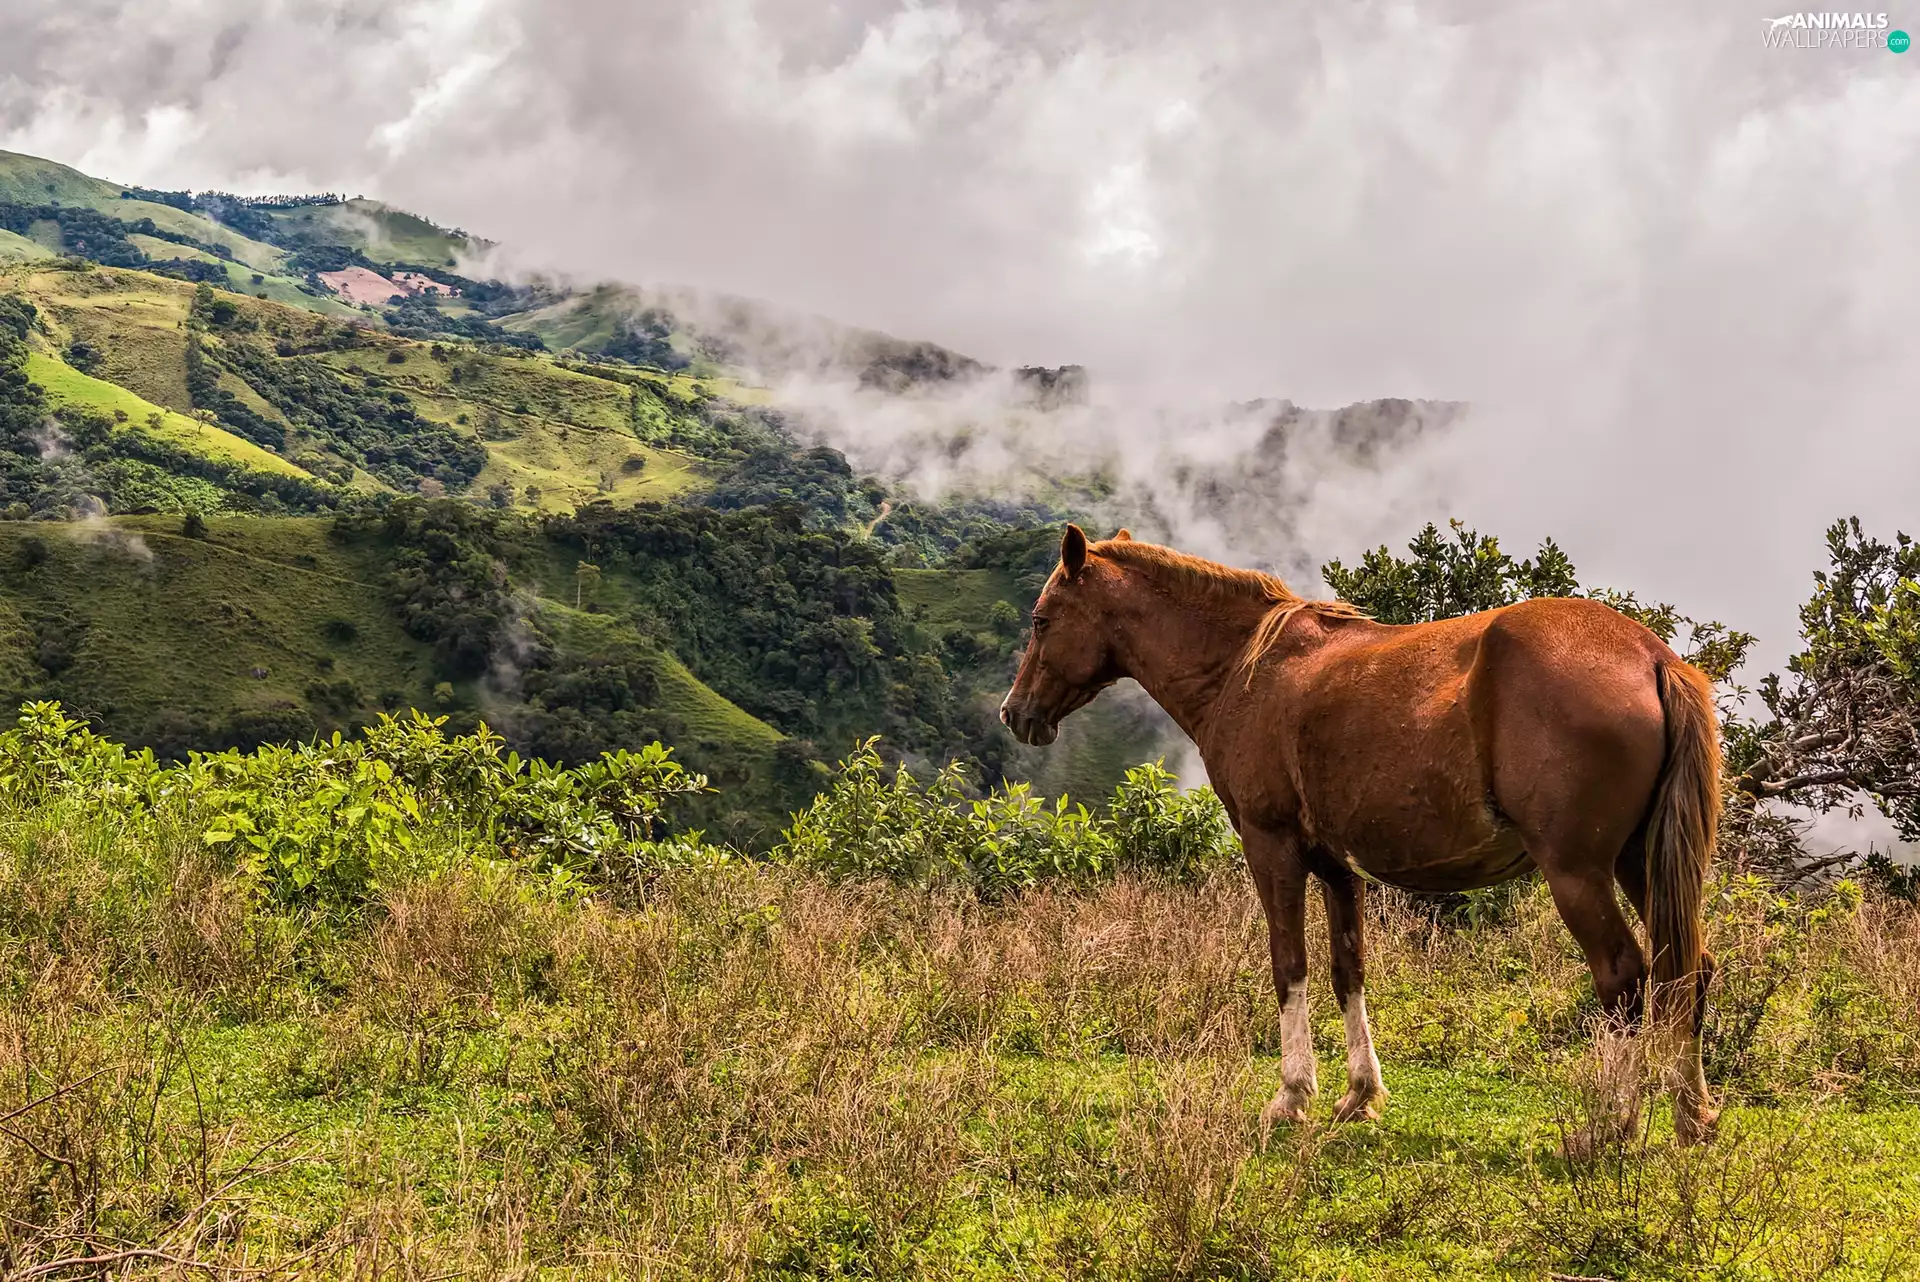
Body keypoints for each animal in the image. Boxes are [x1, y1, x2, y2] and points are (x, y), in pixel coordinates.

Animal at [1000, 525, 1721, 1143]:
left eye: (1041, 620)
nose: (1015, 714)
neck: (1244, 668)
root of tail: (1648, 655)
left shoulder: (1272, 847)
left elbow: (1289, 963)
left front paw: (1291, 1096)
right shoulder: (1336, 867)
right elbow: (1349, 970)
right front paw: (1359, 1094)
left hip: (1578, 872)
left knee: (1624, 980)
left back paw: (1613, 1126)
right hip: (1638, 863)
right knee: (1688, 969)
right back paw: (1693, 1116)